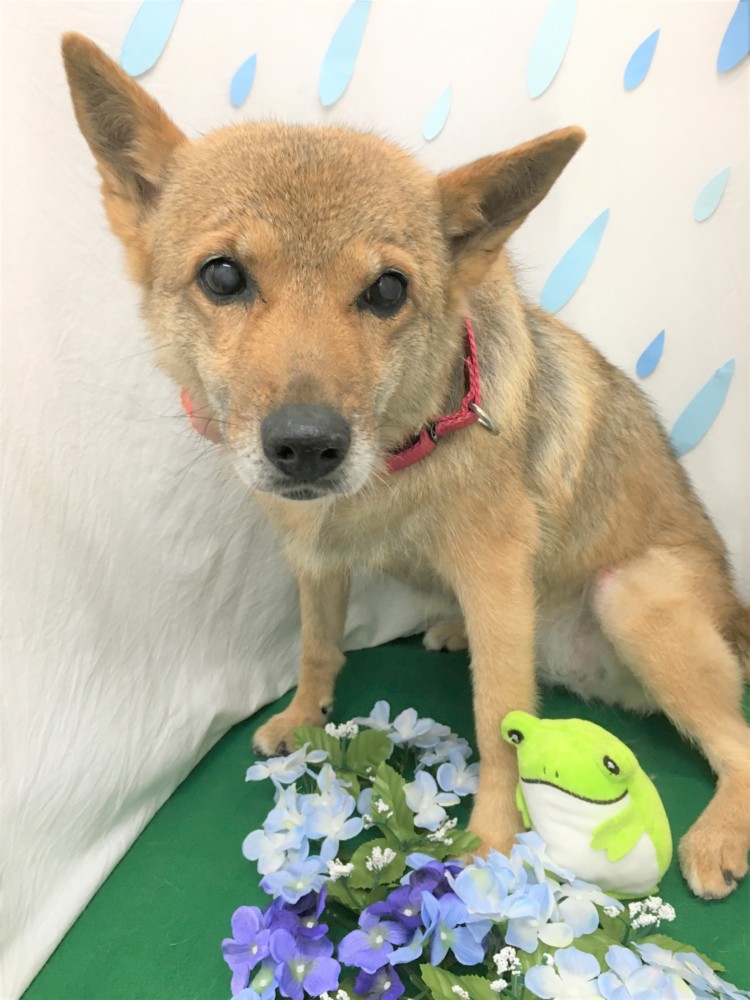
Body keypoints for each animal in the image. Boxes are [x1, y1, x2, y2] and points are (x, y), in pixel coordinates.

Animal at [62, 32, 750, 900]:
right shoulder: (314, 559)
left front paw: (493, 844)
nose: (307, 444)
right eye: (222, 275)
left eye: (388, 290)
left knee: (739, 743)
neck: (398, 460)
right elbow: (317, 645)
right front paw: (304, 717)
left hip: (632, 598)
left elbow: (498, 722)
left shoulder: (496, 577)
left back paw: (720, 833)